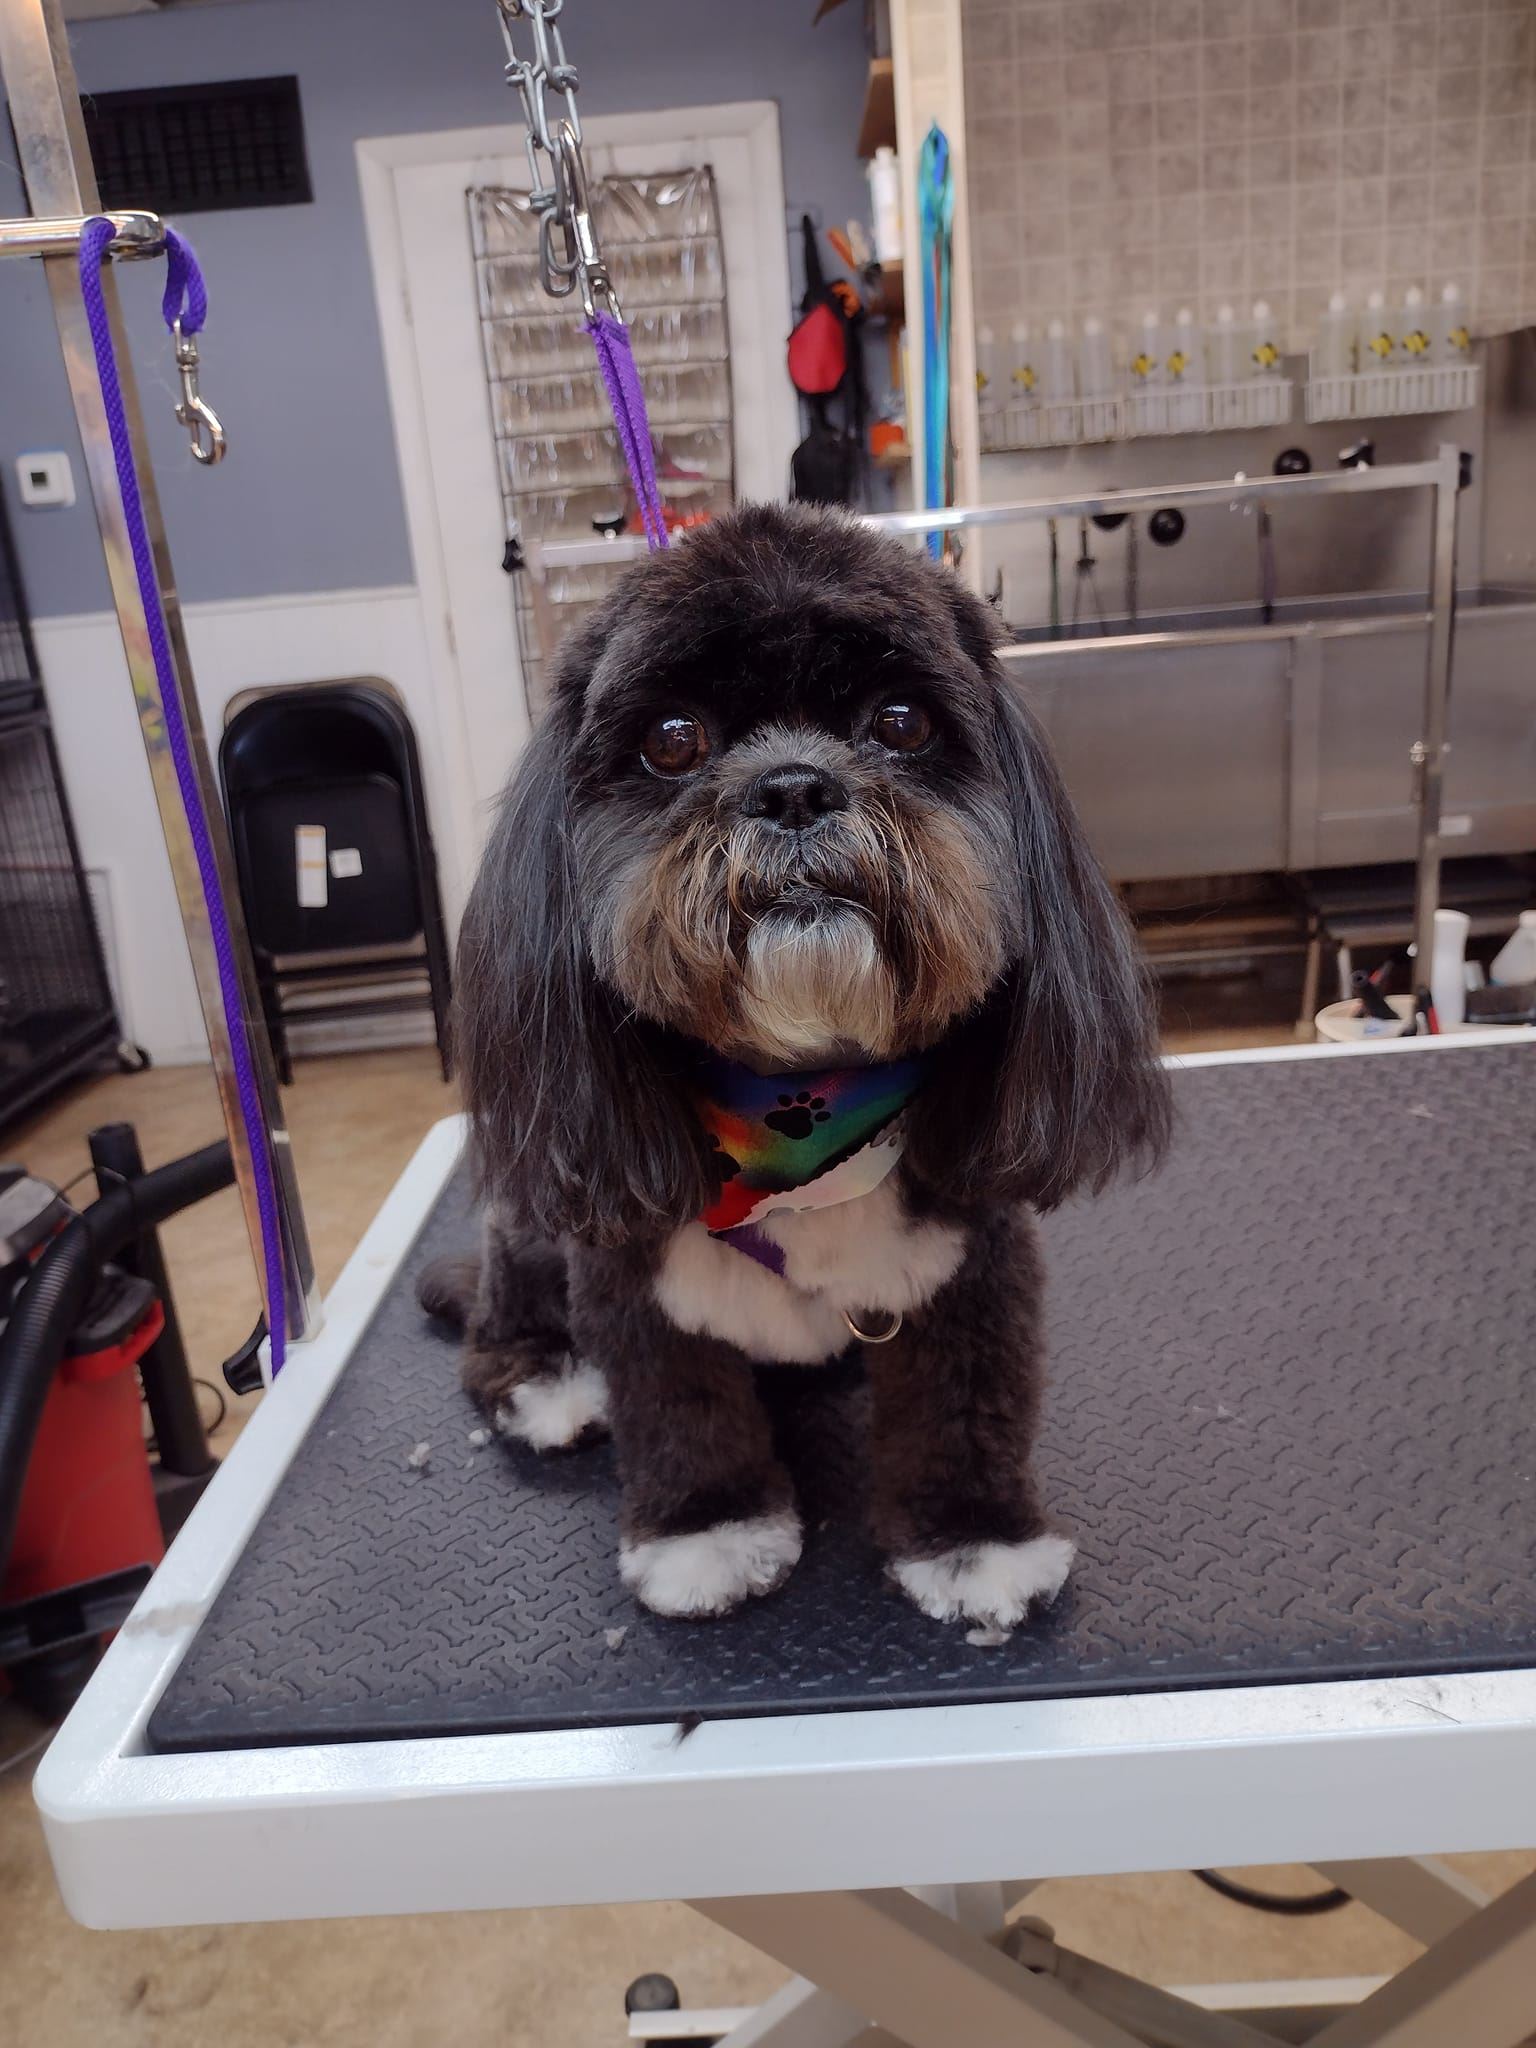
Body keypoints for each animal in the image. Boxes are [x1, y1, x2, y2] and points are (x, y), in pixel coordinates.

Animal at [421, 507, 1163, 1630]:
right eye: (672, 739)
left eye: (900, 722)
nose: (794, 788)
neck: (800, 1097)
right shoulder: (634, 1276)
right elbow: (680, 1405)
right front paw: (707, 1528)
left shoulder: (976, 1260)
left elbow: (965, 1404)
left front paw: (973, 1538)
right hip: (538, 1203)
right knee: (498, 1308)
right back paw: (548, 1383)